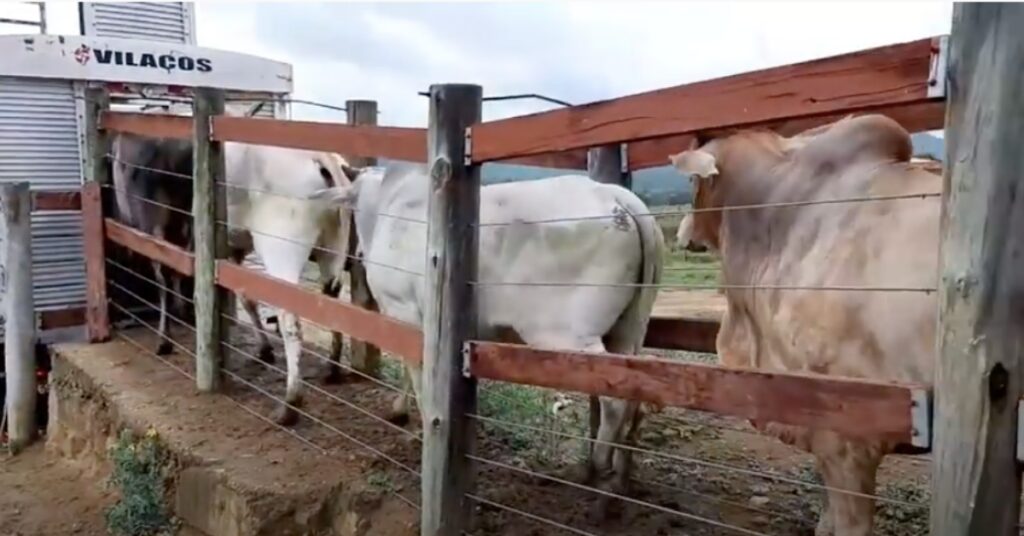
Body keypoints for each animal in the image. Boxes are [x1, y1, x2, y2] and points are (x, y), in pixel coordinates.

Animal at [311, 165, 663, 512]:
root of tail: (618, 197)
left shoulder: (405, 312)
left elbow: (416, 373)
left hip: (569, 334)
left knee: (615, 400)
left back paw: (598, 468)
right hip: (628, 329)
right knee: (636, 397)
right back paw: (619, 481)